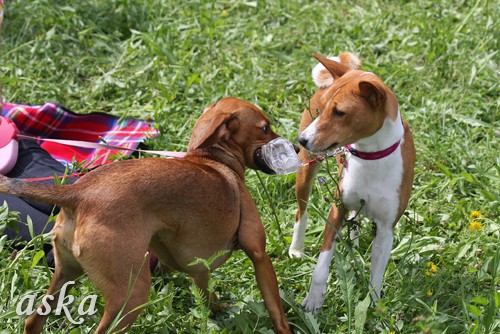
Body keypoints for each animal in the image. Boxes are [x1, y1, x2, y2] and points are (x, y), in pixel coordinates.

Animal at [0, 98, 292, 332]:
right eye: (265, 128)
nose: (294, 146)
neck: (213, 158)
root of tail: (78, 193)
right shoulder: (259, 255)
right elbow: (275, 308)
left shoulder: (197, 268)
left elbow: (205, 290)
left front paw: (216, 309)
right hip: (131, 296)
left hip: (65, 275)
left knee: (33, 321)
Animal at [292, 52, 416, 310]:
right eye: (322, 109)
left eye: (339, 112)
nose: (301, 140)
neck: (370, 156)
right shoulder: (336, 210)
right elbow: (321, 267)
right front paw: (313, 301)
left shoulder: (386, 230)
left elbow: (376, 278)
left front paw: (373, 308)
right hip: (306, 173)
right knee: (302, 211)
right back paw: (296, 249)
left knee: (355, 219)